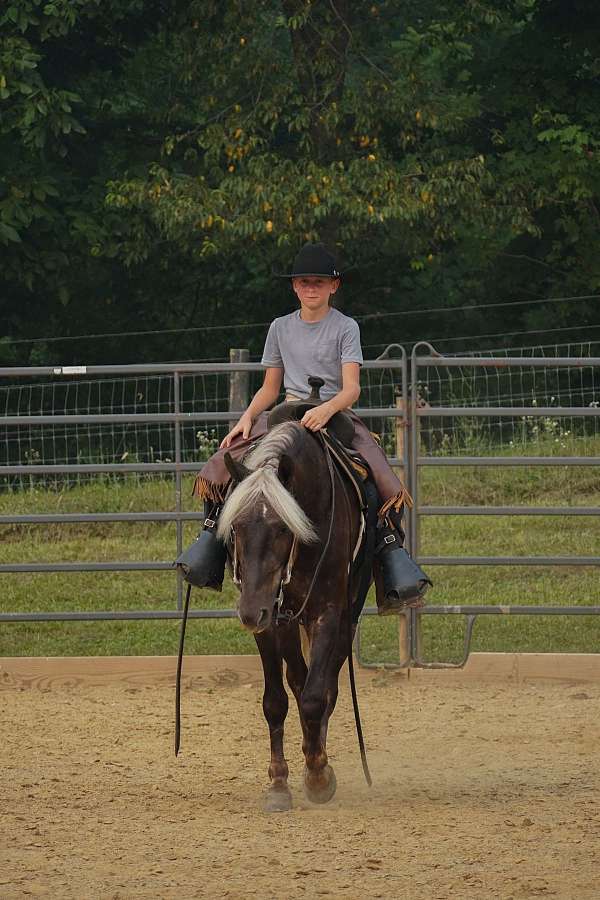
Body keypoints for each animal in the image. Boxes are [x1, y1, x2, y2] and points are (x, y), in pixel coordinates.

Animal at [216, 419, 366, 812]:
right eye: (236, 526)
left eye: (284, 528)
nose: (249, 613)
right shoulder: (271, 621)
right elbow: (275, 701)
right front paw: (279, 783)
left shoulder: (328, 613)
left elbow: (316, 696)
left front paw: (318, 776)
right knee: (298, 679)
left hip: (345, 618)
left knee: (325, 686)